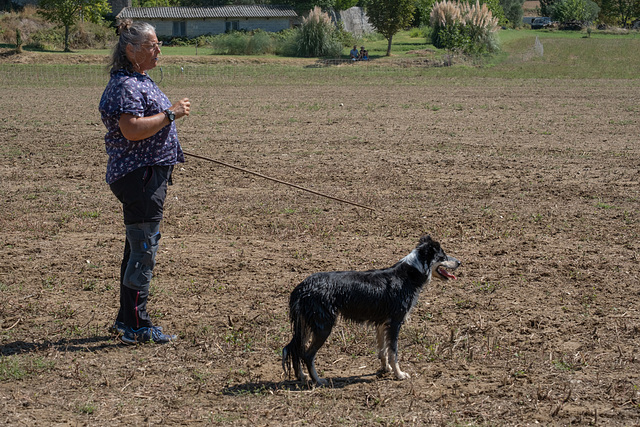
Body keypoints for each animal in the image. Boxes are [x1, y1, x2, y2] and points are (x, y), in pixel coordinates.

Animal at [282, 236, 458, 386]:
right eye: (443, 256)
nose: (460, 262)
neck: (410, 273)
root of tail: (302, 287)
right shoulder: (395, 323)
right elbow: (393, 352)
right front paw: (399, 374)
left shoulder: (381, 324)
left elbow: (383, 351)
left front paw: (385, 369)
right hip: (323, 327)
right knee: (307, 354)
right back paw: (318, 380)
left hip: (306, 326)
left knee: (294, 348)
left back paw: (301, 377)